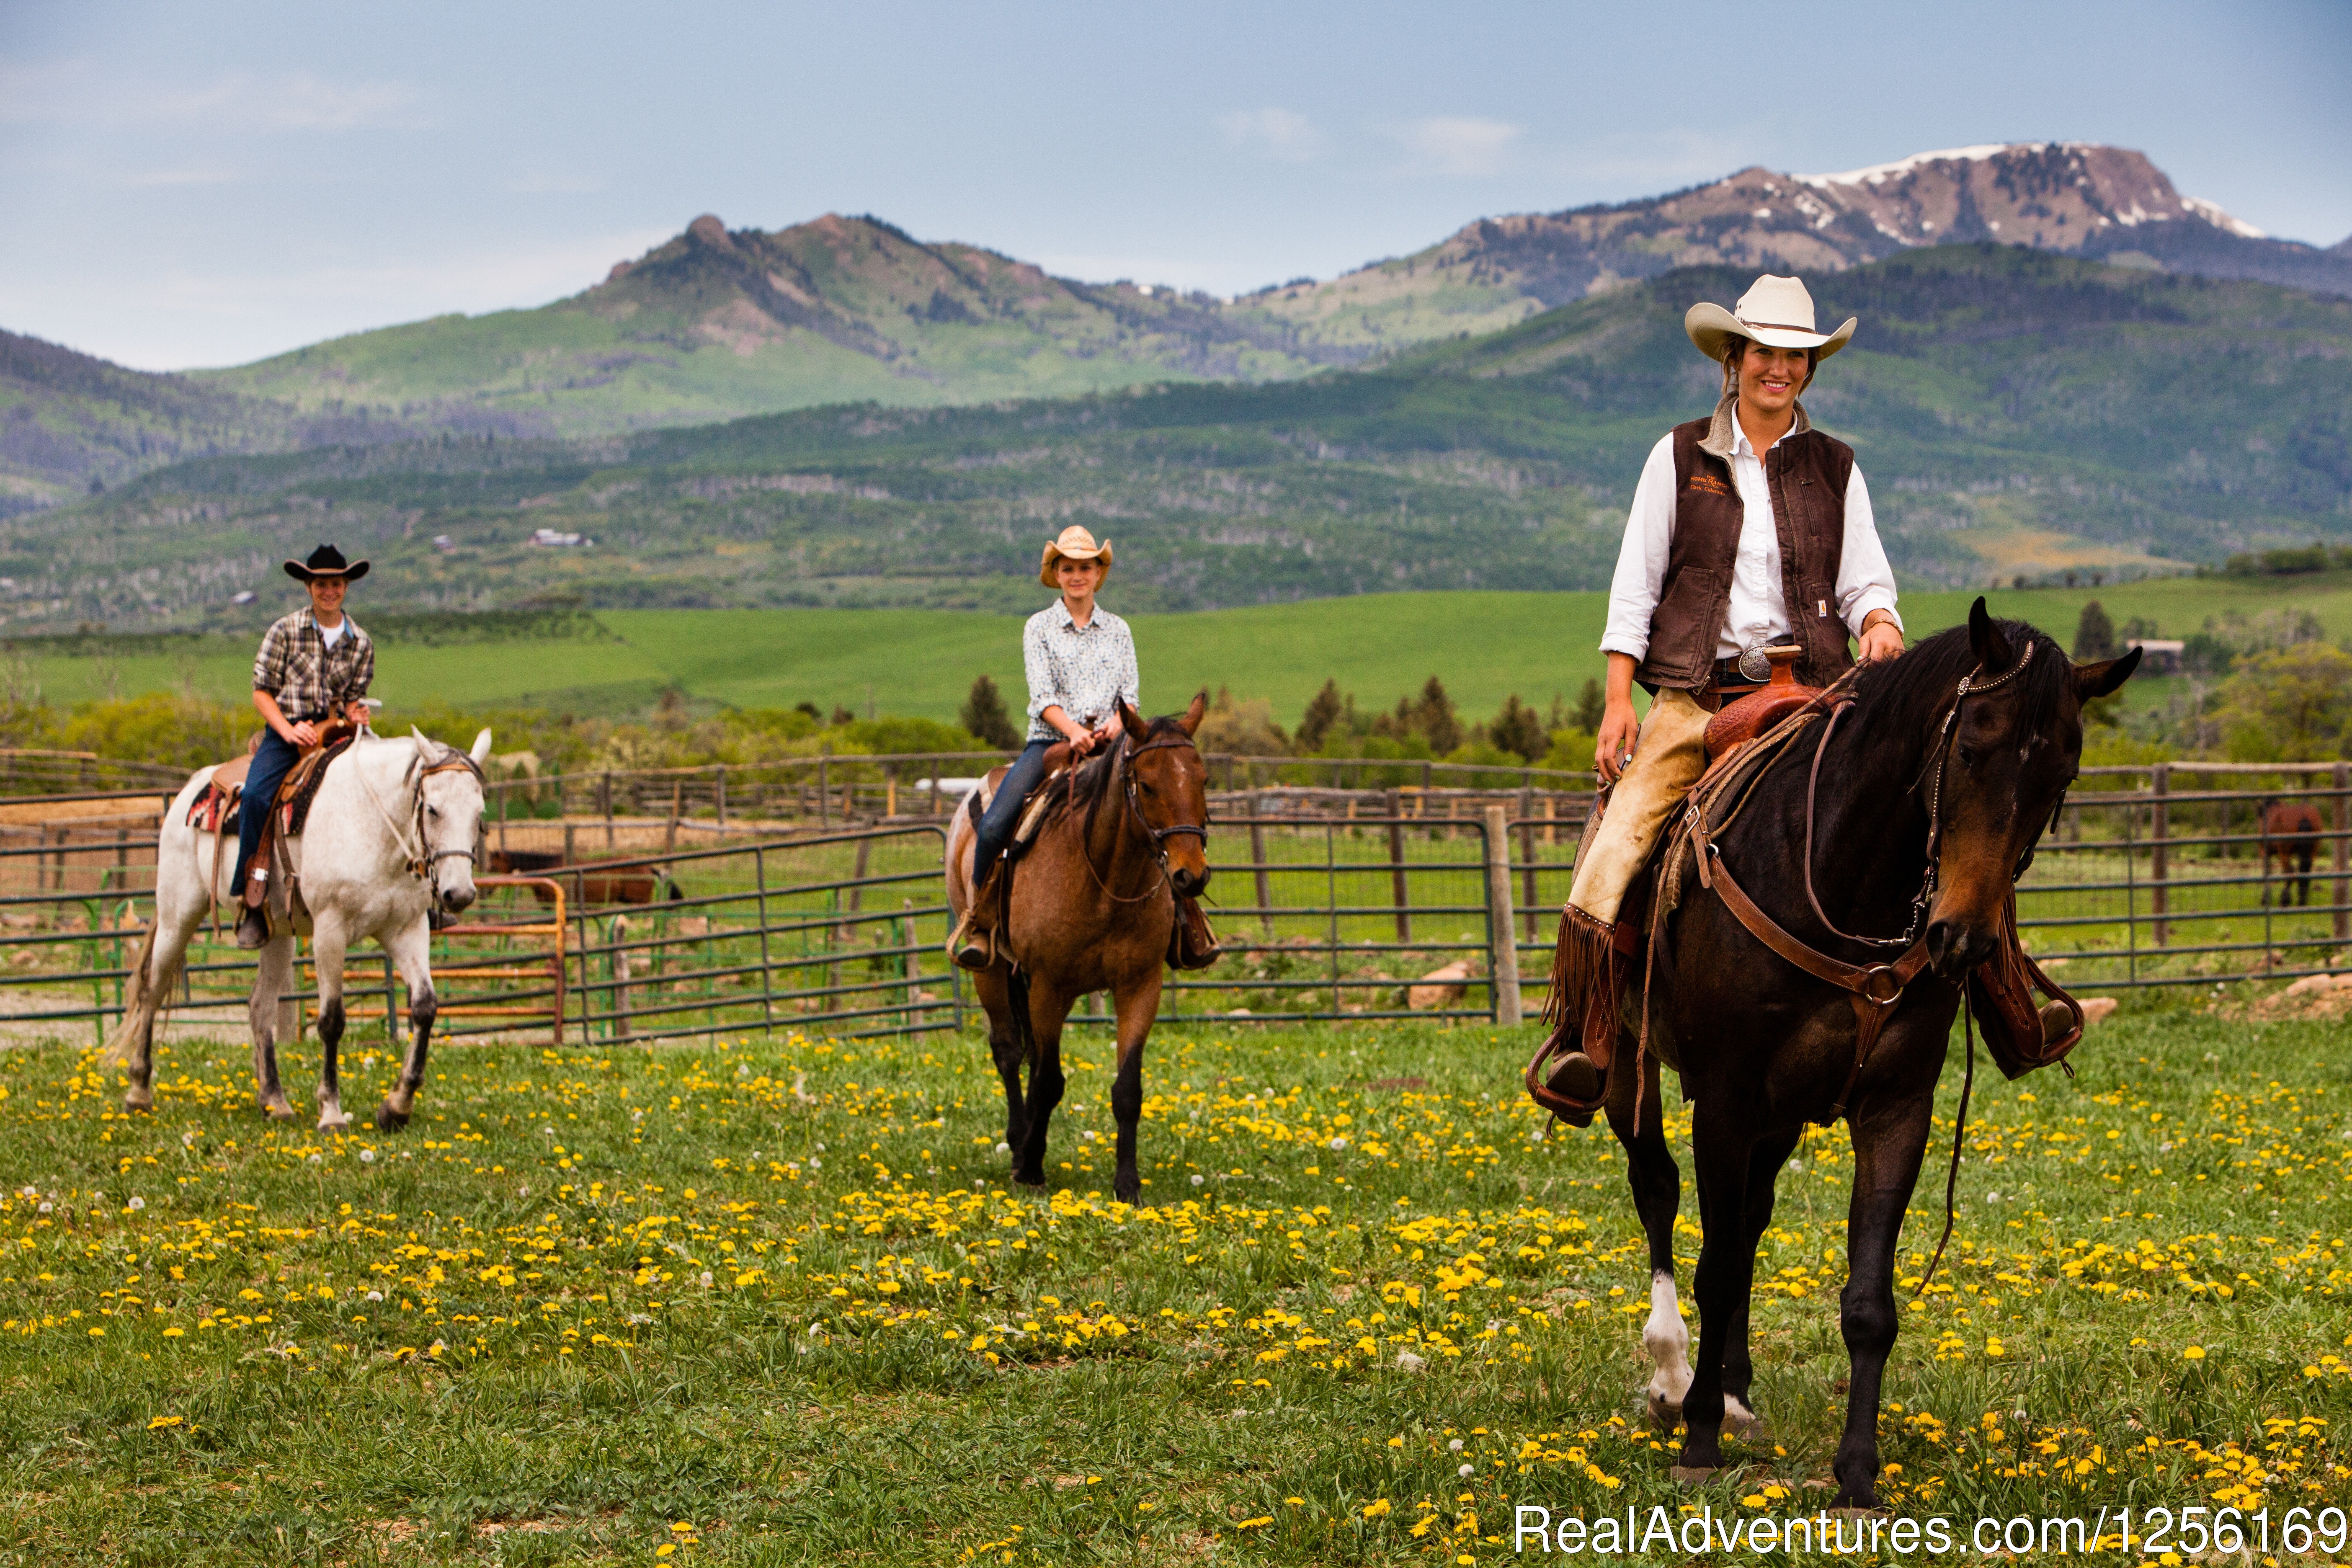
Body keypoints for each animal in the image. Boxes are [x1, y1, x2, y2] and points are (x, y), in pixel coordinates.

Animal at [106, 729, 491, 1133]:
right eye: (433, 810)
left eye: (480, 814)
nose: (459, 894)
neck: (372, 824)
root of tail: (193, 788)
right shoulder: (330, 931)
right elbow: (332, 1020)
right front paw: (332, 1112)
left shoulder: (407, 929)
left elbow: (425, 1007)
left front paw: (397, 1106)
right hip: (177, 915)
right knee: (152, 990)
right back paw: (139, 1092)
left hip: (276, 936)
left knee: (260, 1006)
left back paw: (275, 1102)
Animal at [941, 696, 1213, 1203]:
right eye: (1147, 785)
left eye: (1203, 780)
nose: (1191, 876)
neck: (1104, 880)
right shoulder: (1051, 987)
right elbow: (1050, 1081)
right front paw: (1031, 1167)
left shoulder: (1139, 986)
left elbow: (1127, 1089)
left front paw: (1127, 1185)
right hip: (991, 972)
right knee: (1009, 1051)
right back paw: (1018, 1143)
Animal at [1580, 601, 2135, 1504]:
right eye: (1970, 747)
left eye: (2063, 775)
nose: (1962, 940)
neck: (1840, 880)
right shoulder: (1725, 1099)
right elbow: (1715, 1265)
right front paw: (1698, 1437)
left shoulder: (1895, 1108)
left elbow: (1867, 1299)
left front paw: (1857, 1474)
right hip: (1632, 1064)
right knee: (1659, 1192)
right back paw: (1673, 1378)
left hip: (1781, 1116)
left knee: (1749, 1219)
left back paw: (1733, 1390)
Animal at [2248, 799, 2324, 907]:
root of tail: (2304, 815)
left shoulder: (2265, 852)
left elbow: (2267, 871)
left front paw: (2265, 899)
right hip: (2313, 851)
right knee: (2304, 871)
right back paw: (2301, 902)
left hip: (2283, 852)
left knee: (2290, 872)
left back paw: (2285, 900)